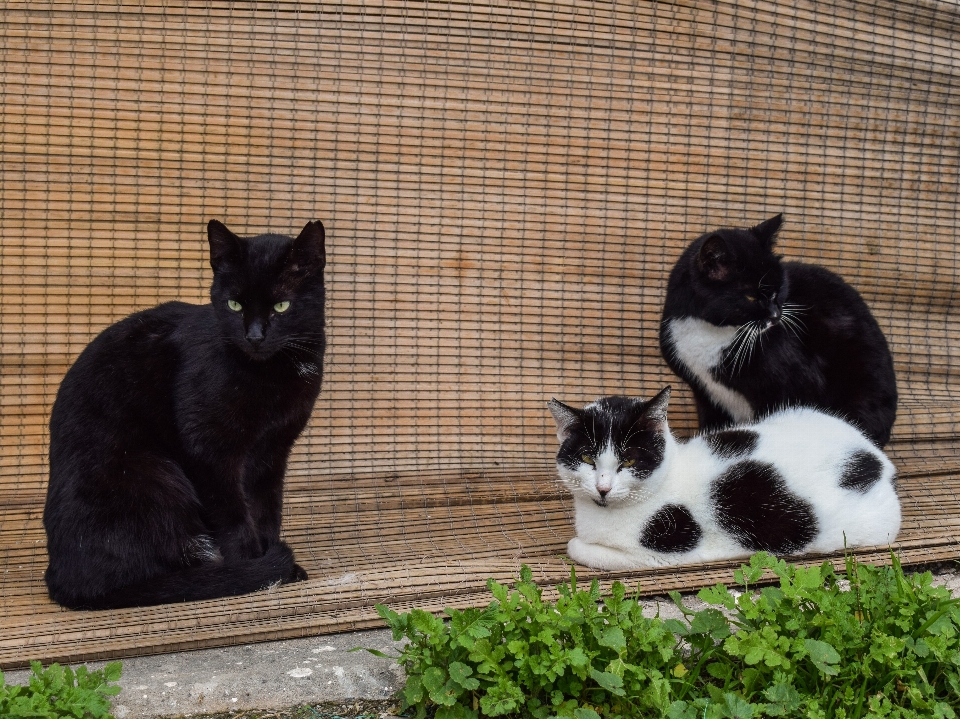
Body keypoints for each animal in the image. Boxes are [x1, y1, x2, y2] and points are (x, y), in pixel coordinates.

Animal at [44, 218, 326, 608]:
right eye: (234, 304)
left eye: (282, 306)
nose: (254, 336)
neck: (272, 374)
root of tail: (63, 582)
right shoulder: (207, 449)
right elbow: (234, 517)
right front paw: (256, 566)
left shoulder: (273, 451)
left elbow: (267, 509)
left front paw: (277, 563)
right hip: (157, 477)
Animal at [548, 388, 900, 572]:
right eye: (587, 459)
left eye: (629, 461)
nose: (603, 488)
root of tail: (876, 457)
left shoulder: (663, 554)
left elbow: (579, 547)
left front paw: (578, 544)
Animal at [656, 214, 896, 448]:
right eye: (751, 297)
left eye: (779, 288)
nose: (776, 315)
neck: (712, 333)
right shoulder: (703, 392)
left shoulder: (790, 385)